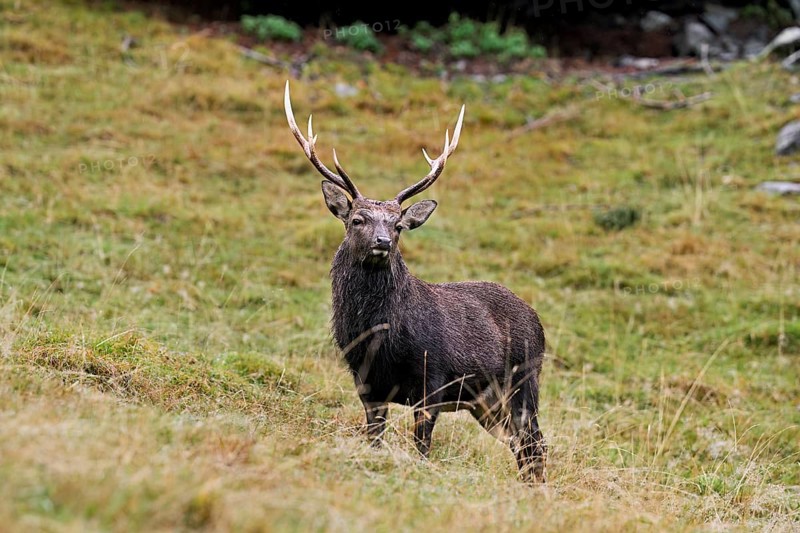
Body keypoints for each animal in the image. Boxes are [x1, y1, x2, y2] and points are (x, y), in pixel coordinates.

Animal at [283, 81, 547, 483]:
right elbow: (374, 439)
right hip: (486, 402)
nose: (383, 242)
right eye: (358, 219)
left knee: (536, 442)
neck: (380, 337)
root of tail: (538, 321)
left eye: (398, 225)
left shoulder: (433, 380)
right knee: (522, 445)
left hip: (523, 380)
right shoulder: (367, 384)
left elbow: (422, 448)